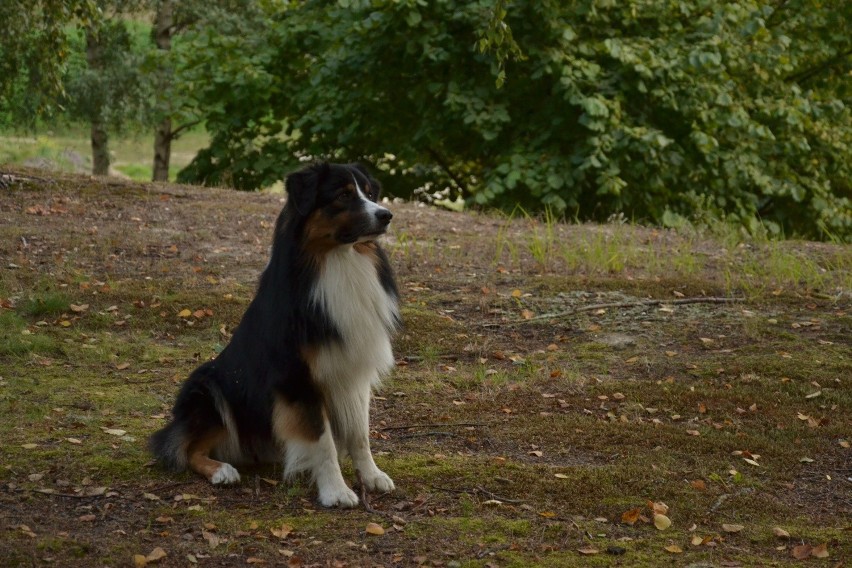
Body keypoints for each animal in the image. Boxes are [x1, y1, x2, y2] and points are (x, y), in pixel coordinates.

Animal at [151, 162, 402, 508]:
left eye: (370, 193)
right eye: (343, 195)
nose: (386, 215)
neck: (338, 260)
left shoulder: (353, 370)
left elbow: (359, 433)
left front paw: (371, 475)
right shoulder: (297, 378)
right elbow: (322, 440)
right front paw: (335, 491)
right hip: (208, 388)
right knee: (185, 448)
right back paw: (221, 471)